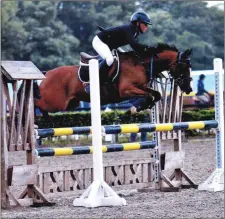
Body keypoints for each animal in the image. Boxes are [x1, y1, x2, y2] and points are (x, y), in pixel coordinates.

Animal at [29, 43, 192, 121]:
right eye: (183, 66)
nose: (189, 88)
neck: (141, 64)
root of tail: (47, 74)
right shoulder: (126, 90)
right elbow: (149, 95)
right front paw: (135, 108)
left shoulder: (142, 87)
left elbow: (155, 95)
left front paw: (139, 108)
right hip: (55, 102)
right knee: (36, 103)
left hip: (70, 103)